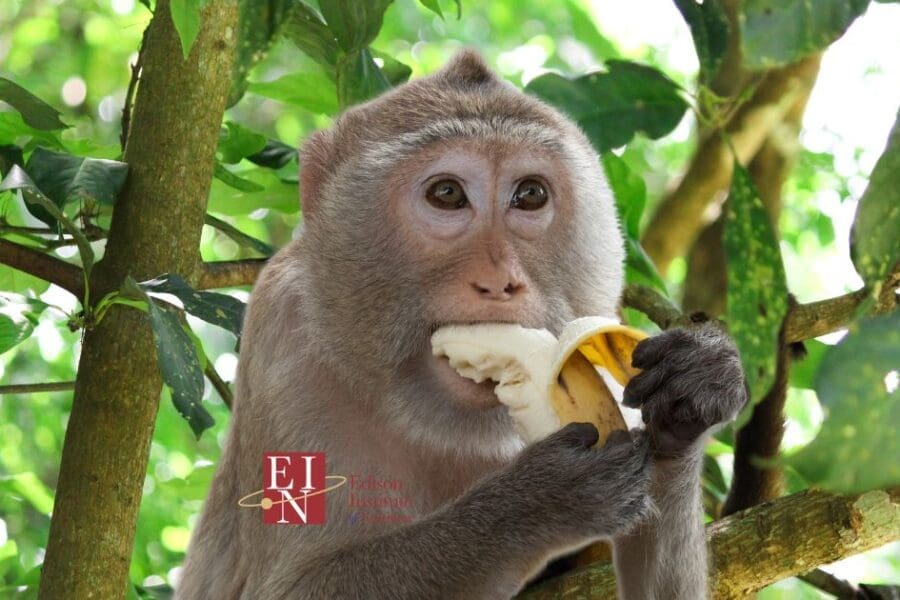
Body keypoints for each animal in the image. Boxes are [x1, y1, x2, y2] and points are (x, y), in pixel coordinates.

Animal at [176, 50, 747, 600]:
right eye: (447, 194)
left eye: (531, 195)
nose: (499, 282)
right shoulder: (284, 334)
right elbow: (294, 587)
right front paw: (535, 503)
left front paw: (689, 399)